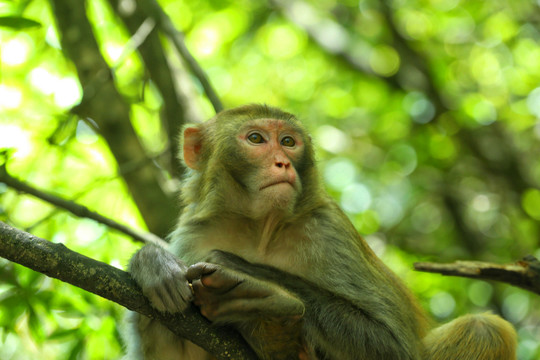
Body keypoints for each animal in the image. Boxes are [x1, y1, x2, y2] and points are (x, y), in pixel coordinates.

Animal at [123, 104, 520, 360]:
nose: (282, 163)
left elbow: (394, 345)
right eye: (256, 139)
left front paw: (252, 278)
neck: (259, 228)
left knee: (485, 329)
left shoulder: (327, 231)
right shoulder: (194, 233)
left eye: (288, 142)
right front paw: (153, 264)